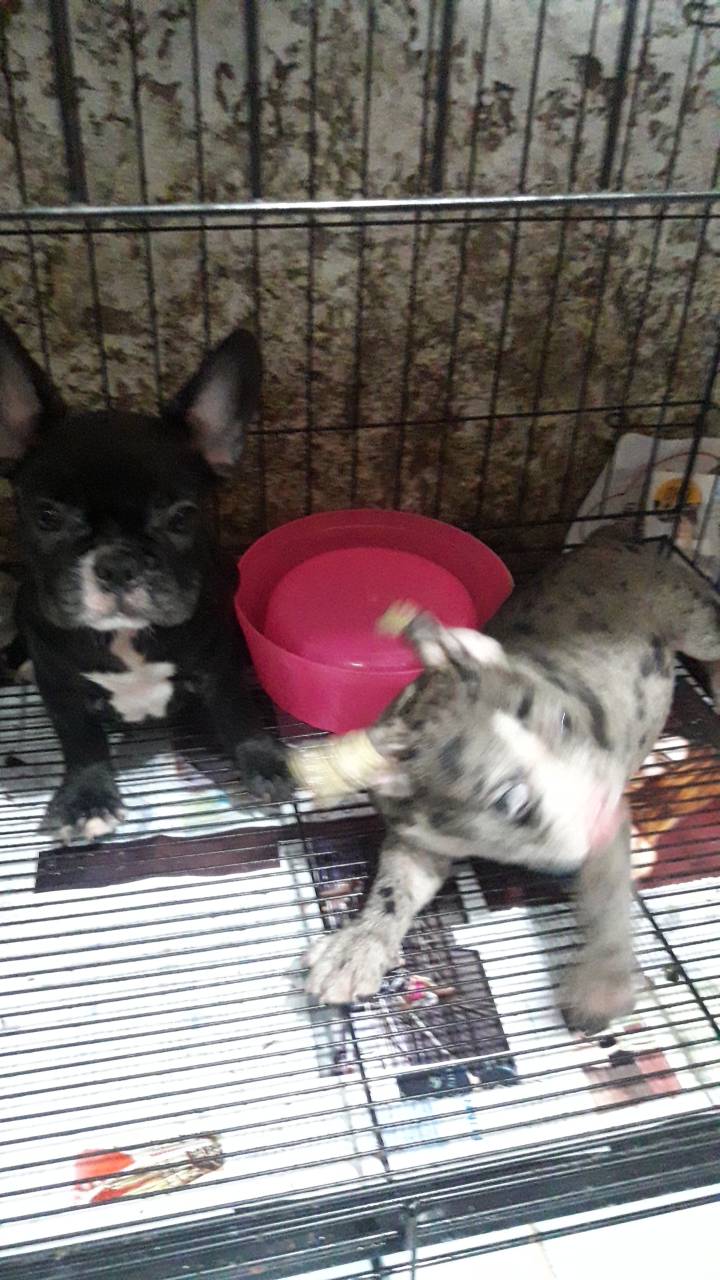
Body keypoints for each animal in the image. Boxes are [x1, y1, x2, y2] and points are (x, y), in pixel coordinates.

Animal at [0, 319, 291, 843]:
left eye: (182, 518)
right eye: (47, 517)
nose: (118, 563)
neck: (125, 635)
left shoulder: (218, 667)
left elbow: (238, 714)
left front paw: (263, 764)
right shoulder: (63, 689)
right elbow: (82, 742)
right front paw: (86, 799)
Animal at [306, 531, 720, 1033]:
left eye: (566, 720)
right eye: (509, 800)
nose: (603, 804)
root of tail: (612, 541)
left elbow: (606, 898)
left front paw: (602, 983)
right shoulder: (419, 833)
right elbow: (394, 886)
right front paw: (357, 947)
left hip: (691, 616)